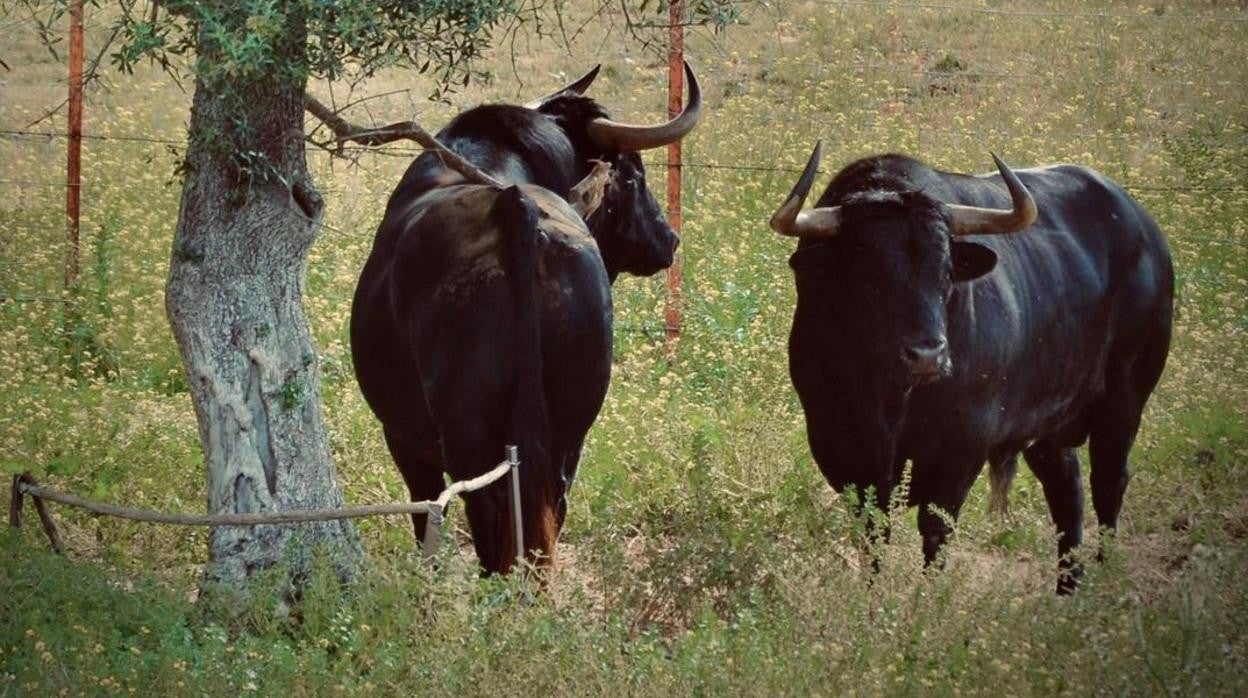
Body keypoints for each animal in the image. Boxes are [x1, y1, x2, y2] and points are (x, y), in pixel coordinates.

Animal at [351, 64, 703, 574]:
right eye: (634, 174)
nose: (669, 239)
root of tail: (514, 205)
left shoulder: (403, 438)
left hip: (469, 439)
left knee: (488, 516)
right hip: (568, 431)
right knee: (546, 510)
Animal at [773, 144, 1173, 591]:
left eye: (946, 270)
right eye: (866, 270)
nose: (928, 355)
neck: (889, 397)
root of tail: (1144, 230)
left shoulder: (963, 445)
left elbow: (936, 529)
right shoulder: (837, 442)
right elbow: (873, 531)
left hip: (1125, 399)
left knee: (1109, 480)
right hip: (1050, 425)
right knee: (1066, 491)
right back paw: (1068, 588)